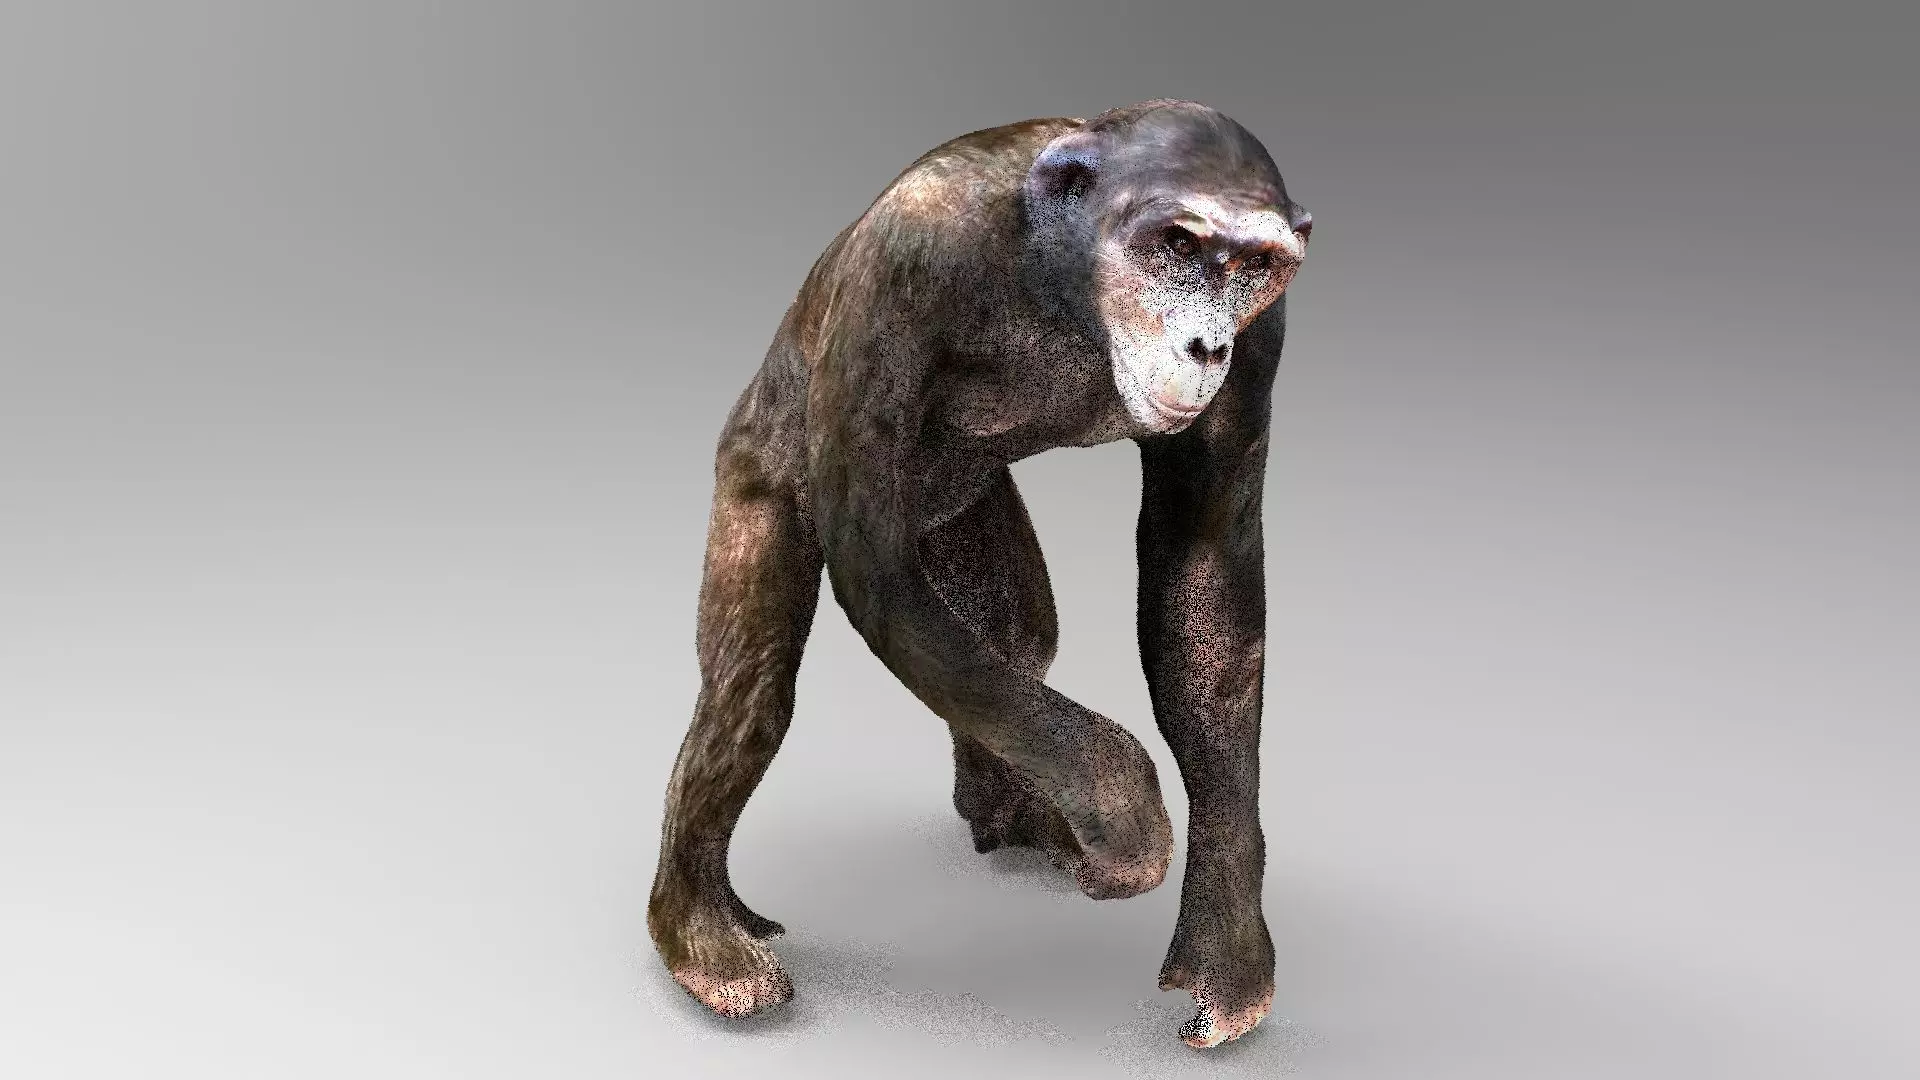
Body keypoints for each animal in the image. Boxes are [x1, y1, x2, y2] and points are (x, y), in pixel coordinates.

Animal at [647, 99, 1311, 1050]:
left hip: (966, 513)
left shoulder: (1262, 343)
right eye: (1178, 244)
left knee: (1015, 637)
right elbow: (877, 568)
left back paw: (1010, 808)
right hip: (756, 466)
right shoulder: (901, 264)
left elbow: (1206, 591)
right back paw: (702, 934)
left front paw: (1228, 957)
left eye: (1252, 265)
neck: (1062, 282)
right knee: (751, 690)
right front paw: (1123, 810)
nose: (1206, 343)